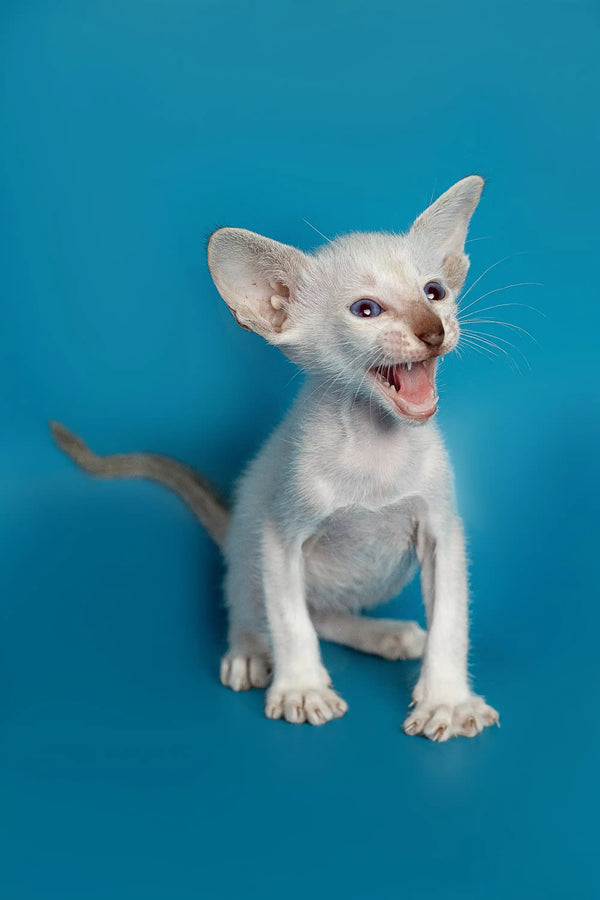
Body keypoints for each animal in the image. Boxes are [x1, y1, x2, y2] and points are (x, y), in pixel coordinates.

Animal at [51, 174, 500, 740]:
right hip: (248, 543)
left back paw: (386, 635)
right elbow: (289, 620)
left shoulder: (443, 529)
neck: (373, 445)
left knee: (323, 613)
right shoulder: (279, 534)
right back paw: (249, 651)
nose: (434, 330)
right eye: (366, 310)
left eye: (434, 293)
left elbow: (450, 623)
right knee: (256, 602)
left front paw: (447, 701)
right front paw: (301, 689)